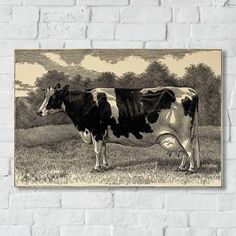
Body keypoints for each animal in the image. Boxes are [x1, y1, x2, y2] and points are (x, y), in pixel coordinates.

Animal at [37, 84, 200, 172]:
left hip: (183, 132)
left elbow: (97, 151)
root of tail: (190, 90)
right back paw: (181, 167)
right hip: (180, 134)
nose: (38, 112)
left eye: (53, 98)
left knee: (189, 149)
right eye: (45, 96)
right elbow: (103, 150)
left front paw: (96, 168)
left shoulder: (97, 131)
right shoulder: (101, 134)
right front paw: (105, 166)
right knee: (184, 150)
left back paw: (190, 169)